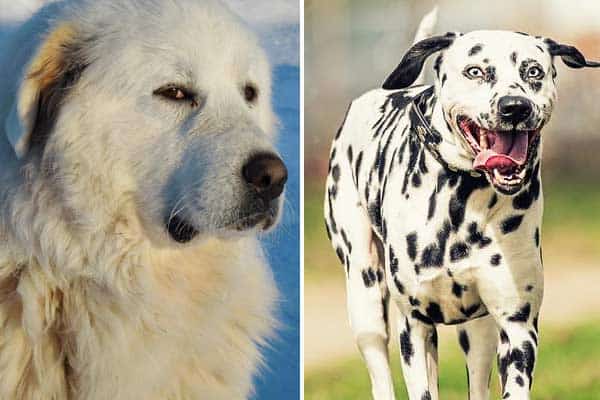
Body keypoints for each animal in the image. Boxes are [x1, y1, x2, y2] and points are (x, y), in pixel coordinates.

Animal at [326, 21, 596, 400]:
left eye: (533, 71)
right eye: (476, 71)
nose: (516, 107)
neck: (463, 203)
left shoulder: (517, 327)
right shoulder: (415, 327)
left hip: (478, 334)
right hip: (366, 301)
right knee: (379, 370)